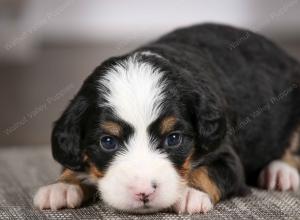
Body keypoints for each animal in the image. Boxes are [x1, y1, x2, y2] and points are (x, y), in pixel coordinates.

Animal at [33, 23, 300, 213]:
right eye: (108, 142)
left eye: (173, 139)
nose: (143, 192)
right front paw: (62, 186)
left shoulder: (226, 157)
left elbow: (206, 172)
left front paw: (189, 192)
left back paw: (281, 172)